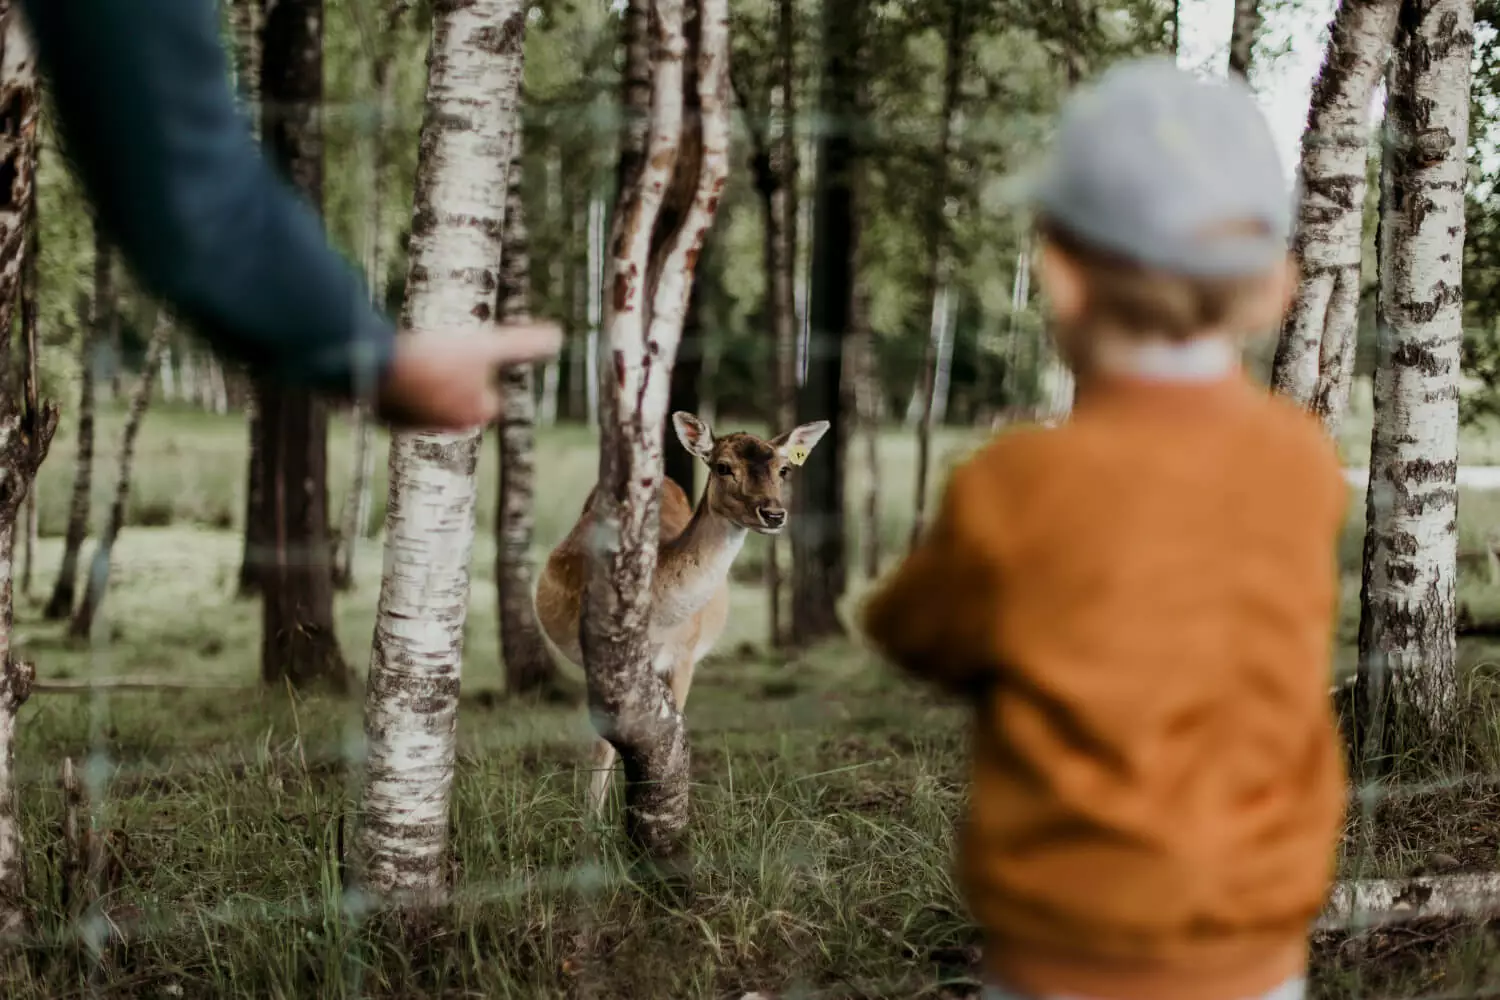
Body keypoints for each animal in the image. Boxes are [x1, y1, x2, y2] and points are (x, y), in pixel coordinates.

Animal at [531, 410, 834, 815]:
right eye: (723, 466)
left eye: (783, 468)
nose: (773, 513)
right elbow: (602, 744)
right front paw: (592, 819)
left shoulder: (685, 656)